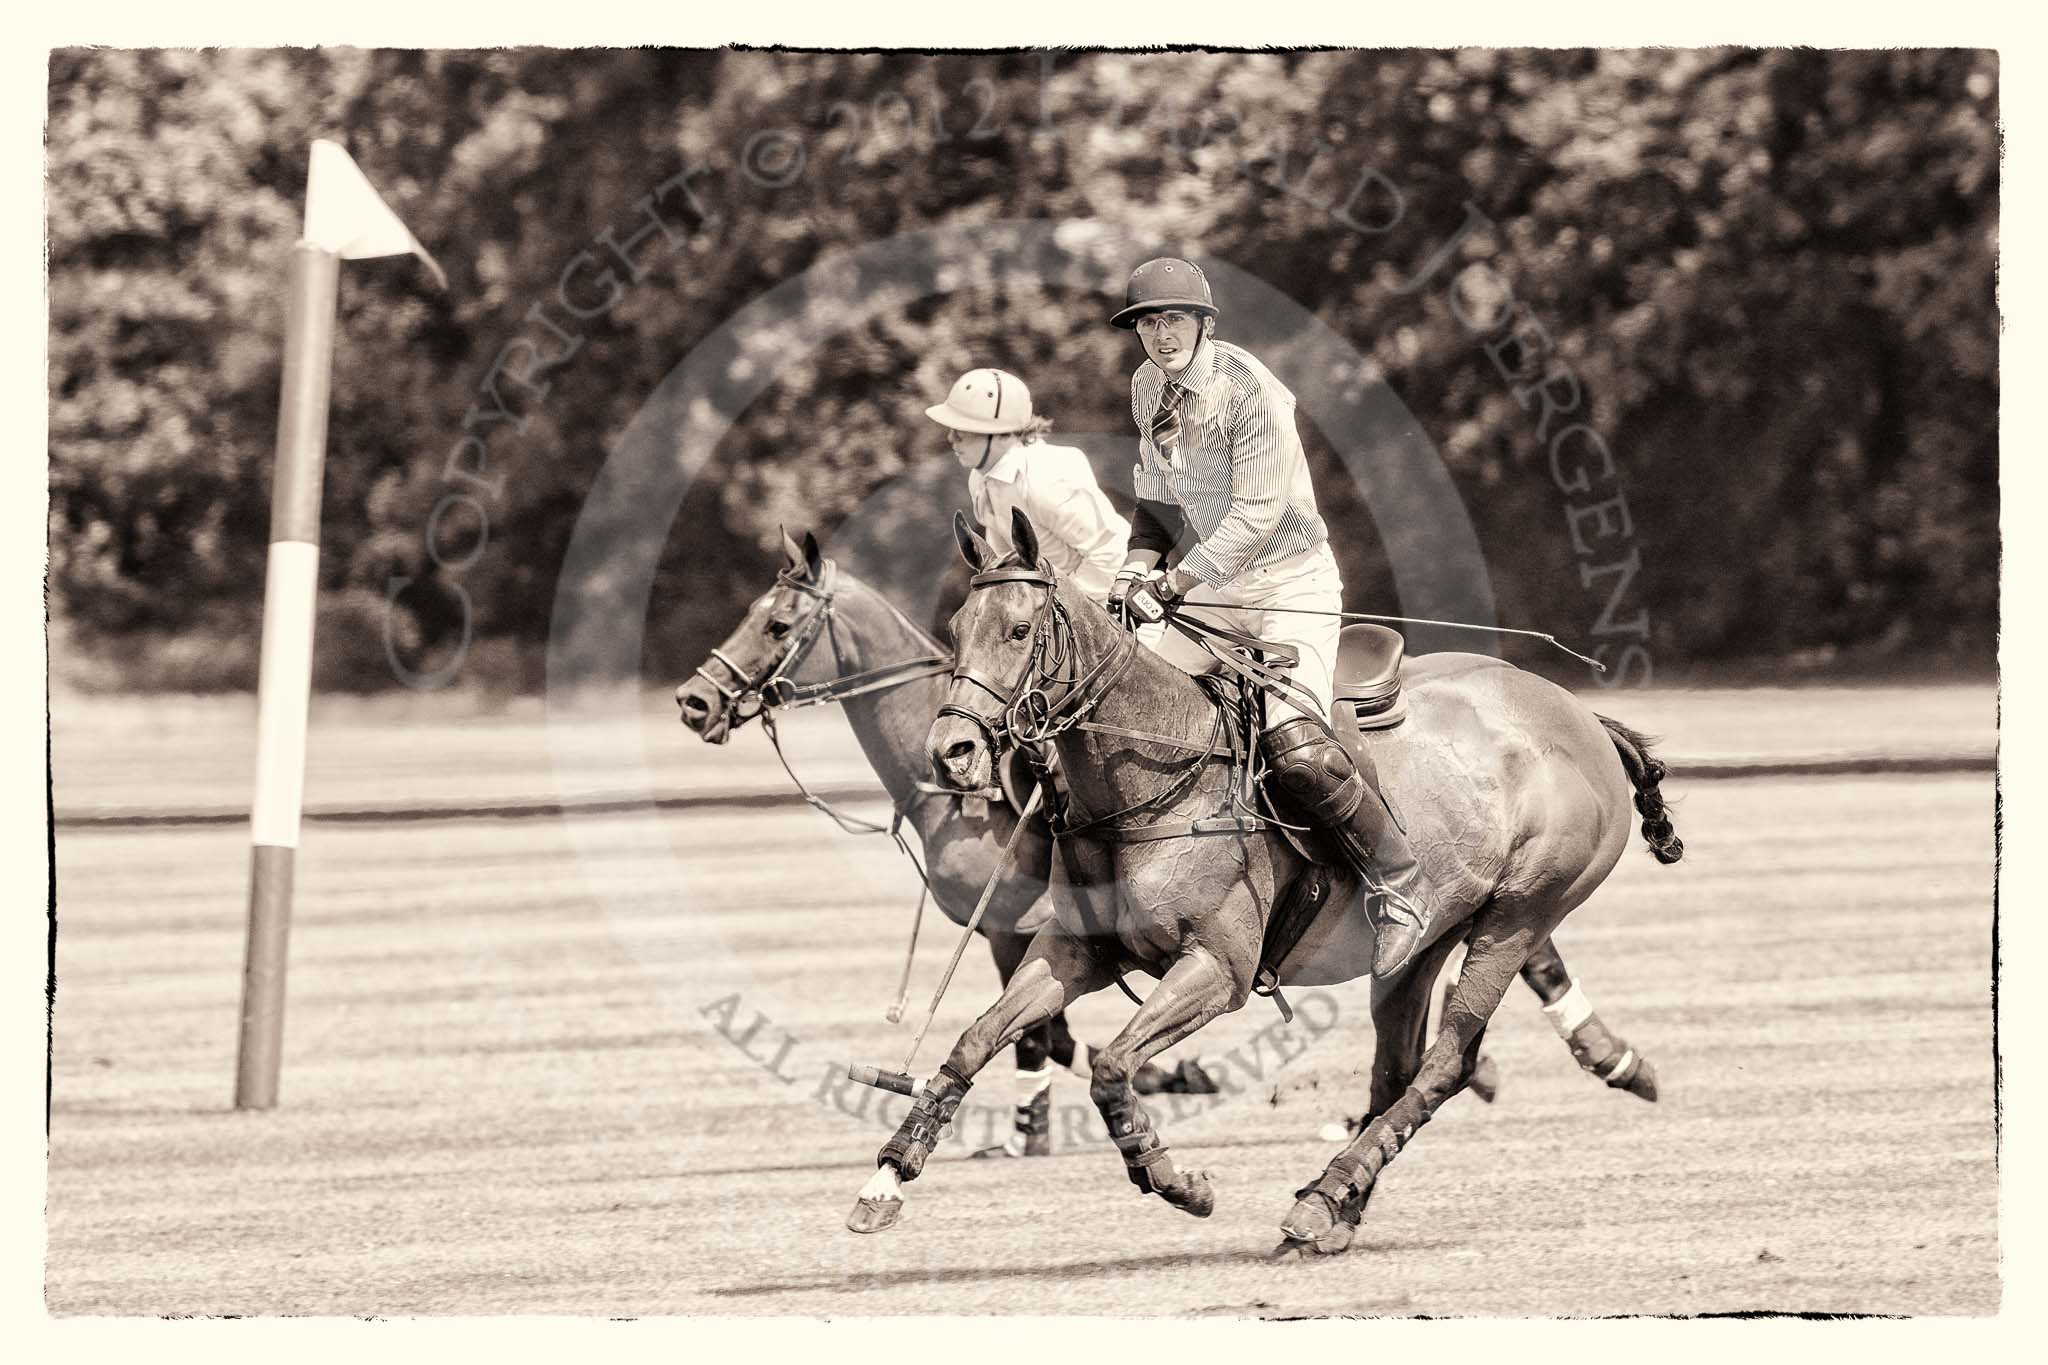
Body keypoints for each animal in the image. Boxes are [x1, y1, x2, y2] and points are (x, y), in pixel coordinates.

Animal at [851, 515, 1679, 1260]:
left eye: (1020, 630)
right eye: (958, 627)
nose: (953, 750)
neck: (1147, 782)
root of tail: (1584, 717)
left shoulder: (1217, 968)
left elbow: (1112, 1064)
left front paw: (1175, 1179)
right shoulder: (1074, 949)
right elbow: (976, 1038)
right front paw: (886, 1179)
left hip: (1519, 913)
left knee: (1446, 1061)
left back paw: (1324, 1196)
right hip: (1422, 946)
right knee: (1401, 1068)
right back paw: (1336, 1208)